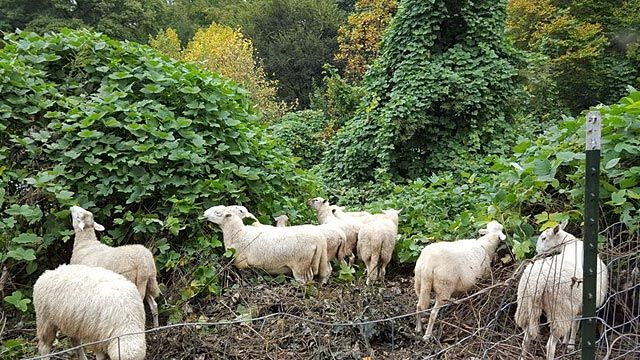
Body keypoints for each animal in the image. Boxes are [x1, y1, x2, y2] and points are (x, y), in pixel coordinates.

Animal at [202, 205, 330, 284]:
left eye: (218, 212)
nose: (204, 213)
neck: (239, 233)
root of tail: (320, 240)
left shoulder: (241, 263)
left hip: (301, 266)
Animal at [516, 221, 608, 358]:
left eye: (544, 238)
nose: (537, 253)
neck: (569, 245)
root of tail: (538, 283)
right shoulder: (578, 306)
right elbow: (575, 326)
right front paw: (570, 345)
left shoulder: (573, 306)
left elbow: (572, 326)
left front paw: (566, 342)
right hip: (559, 309)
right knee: (550, 346)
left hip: (525, 305)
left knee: (526, 339)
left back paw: (523, 356)